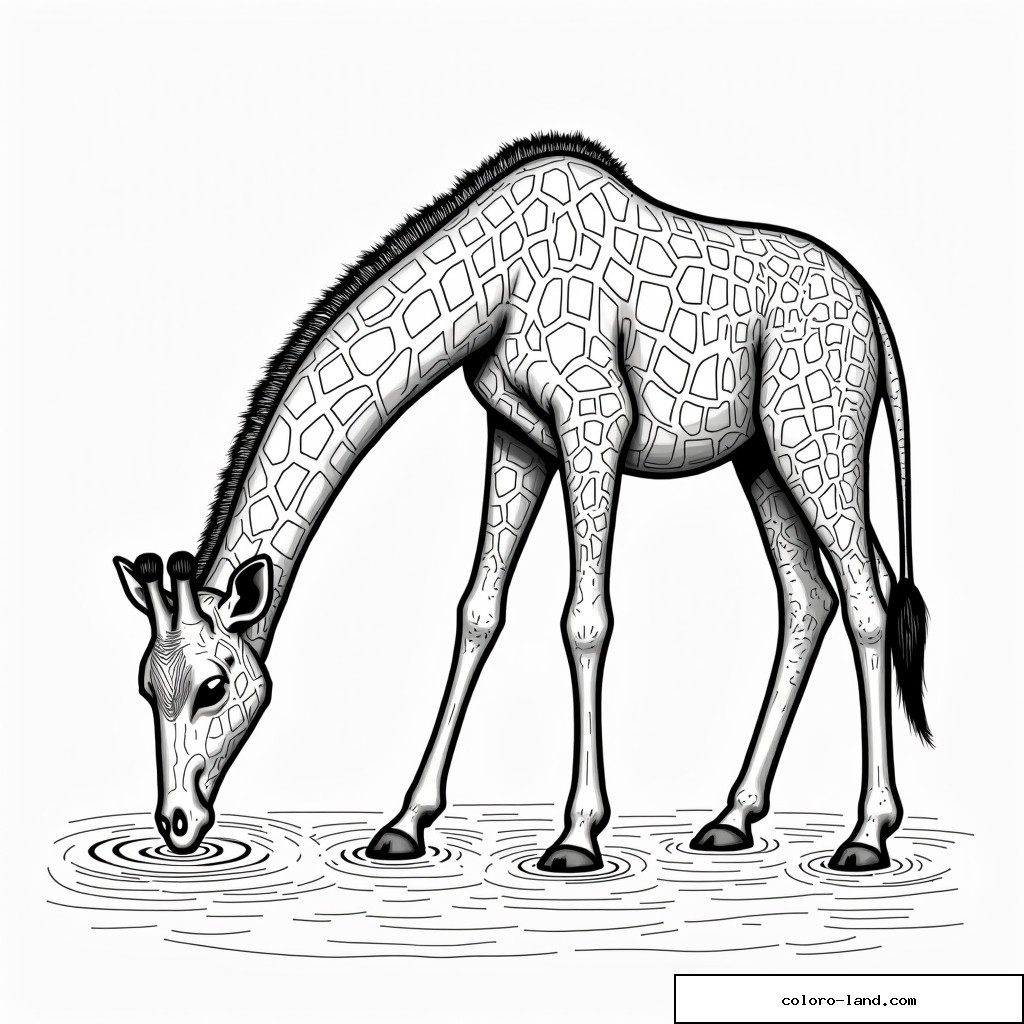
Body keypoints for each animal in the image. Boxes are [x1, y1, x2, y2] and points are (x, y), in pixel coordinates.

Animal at [114, 133, 929, 872]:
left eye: (215, 687)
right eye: (146, 687)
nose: (177, 826)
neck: (495, 286)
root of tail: (873, 308)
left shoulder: (595, 421)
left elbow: (585, 620)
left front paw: (576, 837)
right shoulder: (516, 433)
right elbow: (478, 610)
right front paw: (403, 826)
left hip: (816, 438)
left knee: (867, 600)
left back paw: (866, 837)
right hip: (763, 455)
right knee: (809, 597)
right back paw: (731, 819)